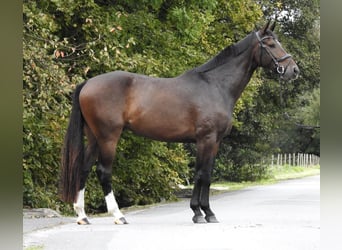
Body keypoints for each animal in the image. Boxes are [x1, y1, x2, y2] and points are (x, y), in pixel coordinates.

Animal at [60, 21, 300, 225]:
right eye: (271, 44)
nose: (294, 70)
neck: (215, 86)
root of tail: (88, 83)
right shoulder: (206, 139)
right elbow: (202, 174)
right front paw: (200, 213)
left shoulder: (215, 142)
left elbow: (207, 174)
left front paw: (206, 213)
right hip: (109, 136)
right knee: (103, 171)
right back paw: (118, 215)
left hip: (94, 137)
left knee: (84, 169)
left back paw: (82, 216)